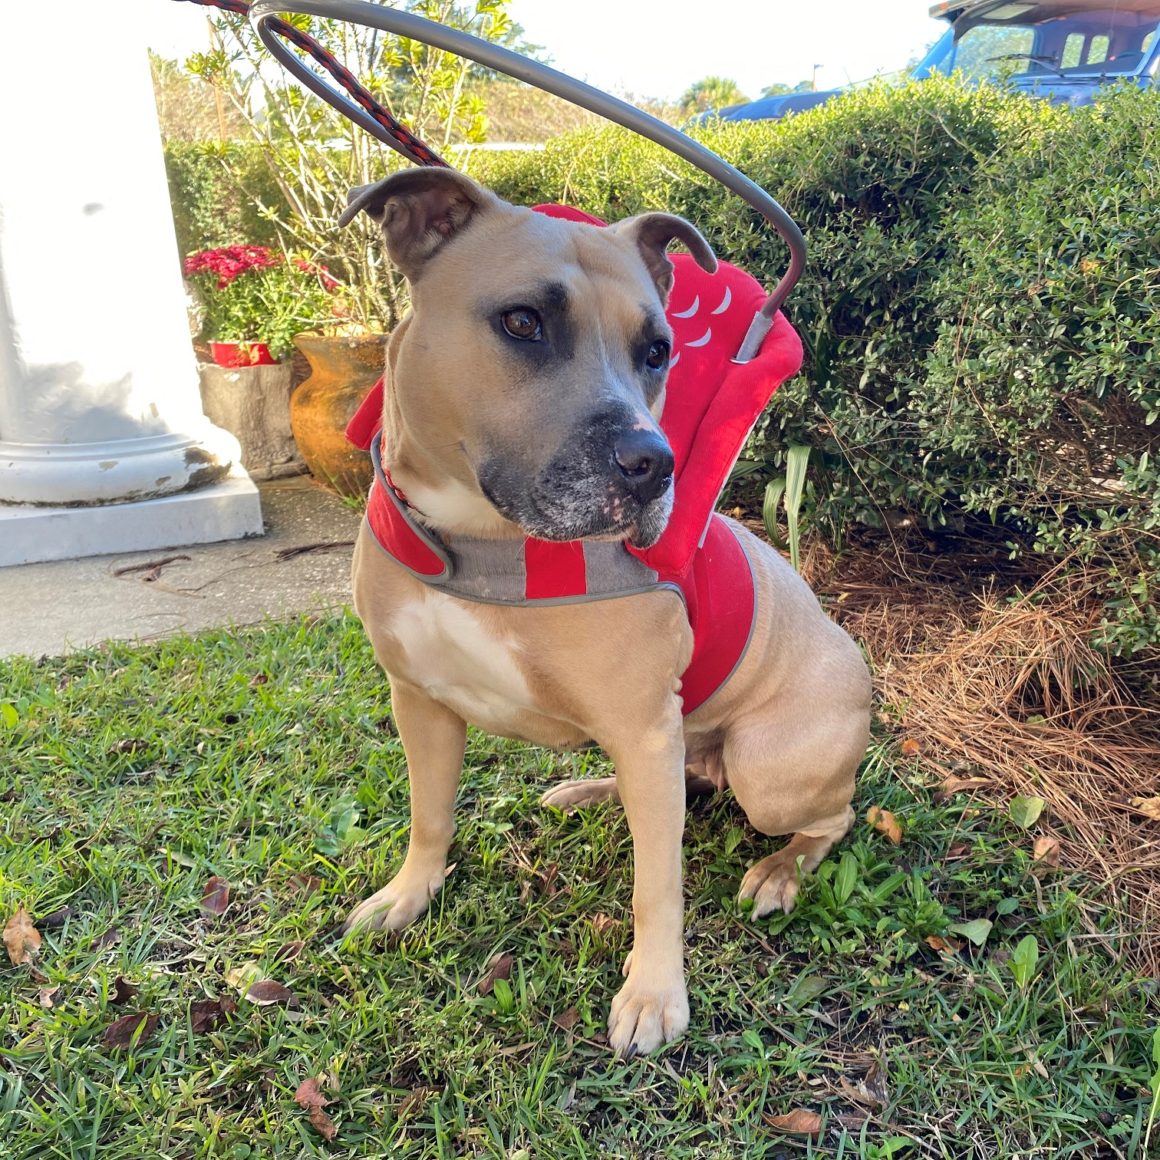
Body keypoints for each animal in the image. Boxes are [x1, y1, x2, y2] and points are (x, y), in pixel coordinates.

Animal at [336, 165, 872, 1062]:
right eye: (522, 322)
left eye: (657, 350)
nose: (652, 464)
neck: (482, 543)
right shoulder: (420, 703)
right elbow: (429, 815)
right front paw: (410, 893)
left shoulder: (646, 730)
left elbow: (658, 886)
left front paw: (654, 994)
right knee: (684, 781)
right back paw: (591, 789)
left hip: (769, 770)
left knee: (836, 814)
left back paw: (780, 871)